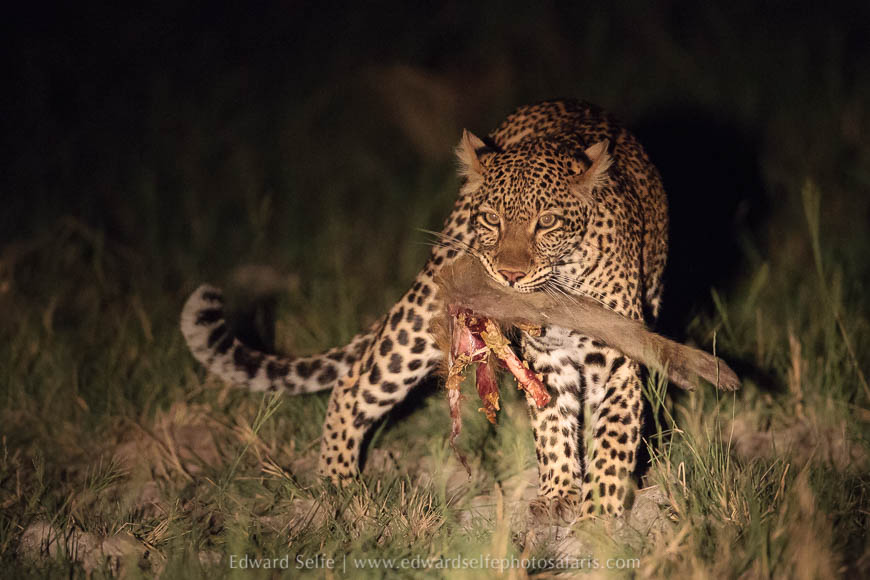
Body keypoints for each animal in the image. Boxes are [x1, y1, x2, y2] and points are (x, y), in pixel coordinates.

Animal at [181, 99, 668, 520]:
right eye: (491, 220)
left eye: (546, 222)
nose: (509, 275)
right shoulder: (546, 357)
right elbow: (552, 425)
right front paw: (564, 497)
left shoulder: (615, 363)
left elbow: (610, 438)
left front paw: (596, 513)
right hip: (426, 313)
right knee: (352, 383)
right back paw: (338, 488)